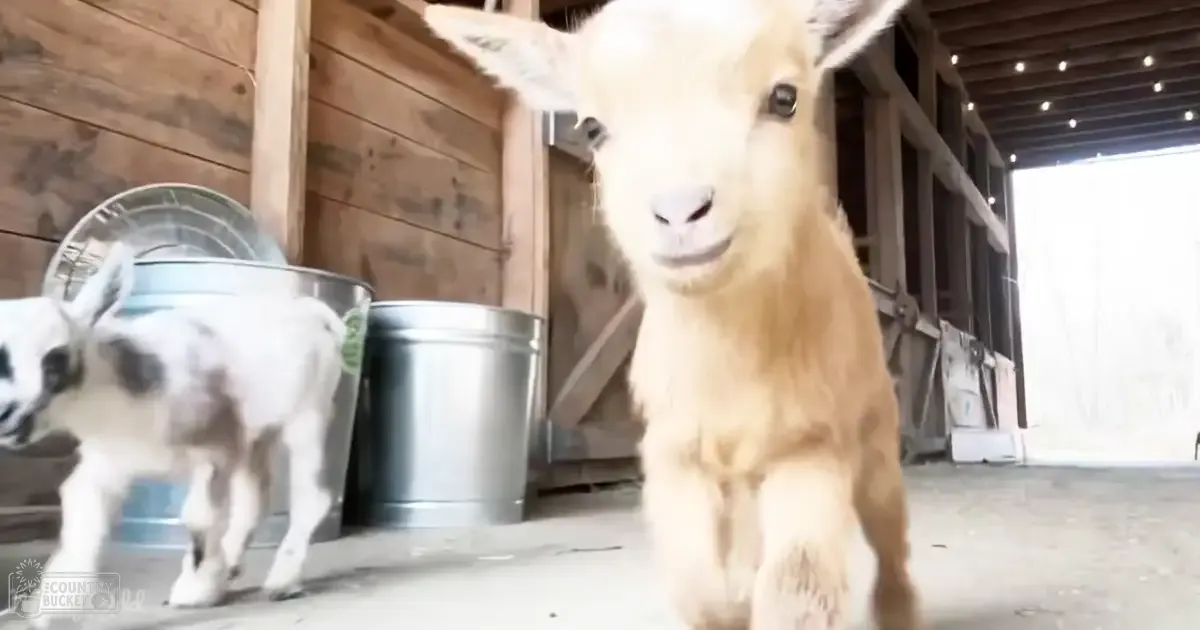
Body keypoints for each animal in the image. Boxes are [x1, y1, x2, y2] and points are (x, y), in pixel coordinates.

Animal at [0, 243, 346, 624]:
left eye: (56, 358)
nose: (7, 417)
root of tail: (311, 311)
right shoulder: (107, 462)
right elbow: (80, 514)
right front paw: (51, 610)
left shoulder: (215, 446)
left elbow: (198, 516)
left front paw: (196, 588)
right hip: (256, 436)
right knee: (254, 498)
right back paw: (233, 567)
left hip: (308, 414)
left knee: (311, 497)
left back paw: (282, 580)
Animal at [425, 0, 919, 628]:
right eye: (591, 128)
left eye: (784, 98)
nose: (680, 211)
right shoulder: (672, 451)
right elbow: (695, 581)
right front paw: (729, 606)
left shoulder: (812, 443)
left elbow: (797, 583)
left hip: (874, 428)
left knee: (888, 529)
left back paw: (899, 609)